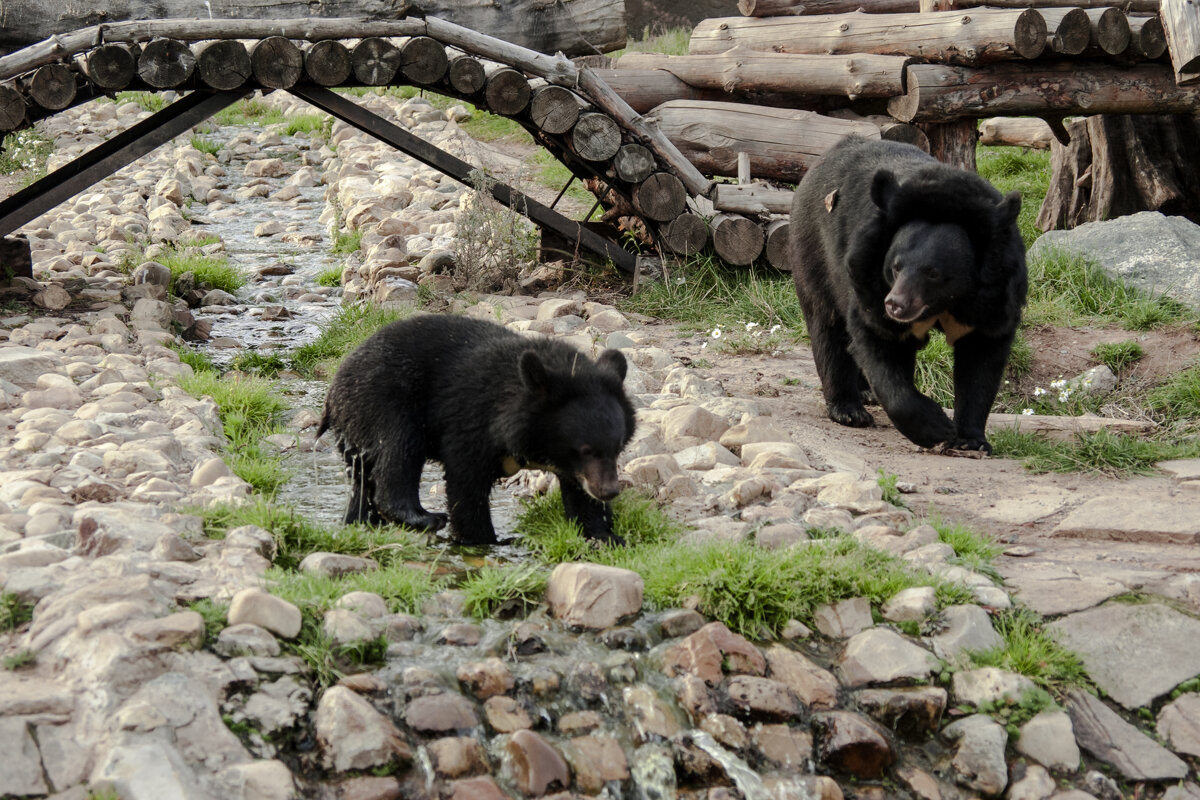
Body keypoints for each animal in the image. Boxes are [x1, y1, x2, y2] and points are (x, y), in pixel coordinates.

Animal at [319, 316, 638, 546]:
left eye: (617, 448)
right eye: (585, 449)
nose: (609, 491)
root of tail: (334, 389)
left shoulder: (573, 467)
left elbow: (580, 496)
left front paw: (605, 535)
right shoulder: (472, 420)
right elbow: (466, 482)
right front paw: (482, 540)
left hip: (355, 430)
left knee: (363, 481)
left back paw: (361, 521)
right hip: (381, 401)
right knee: (398, 449)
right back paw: (423, 517)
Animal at [787, 134, 1032, 453]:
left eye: (933, 273)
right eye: (895, 266)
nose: (896, 305)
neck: (947, 303)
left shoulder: (995, 296)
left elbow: (981, 361)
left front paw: (971, 441)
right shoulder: (867, 276)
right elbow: (878, 339)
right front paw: (936, 427)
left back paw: (865, 393)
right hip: (814, 251)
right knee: (827, 325)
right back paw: (849, 410)